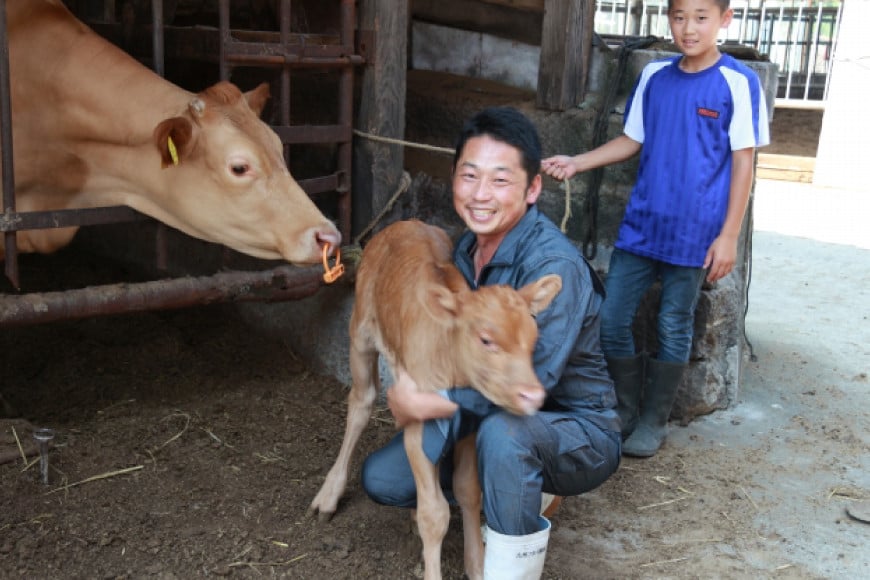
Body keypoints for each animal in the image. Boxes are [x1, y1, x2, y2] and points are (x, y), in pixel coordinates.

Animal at [310, 220, 564, 576]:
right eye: (486, 339)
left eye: (533, 338)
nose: (532, 394)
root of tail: (404, 223)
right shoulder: (419, 422)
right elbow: (435, 514)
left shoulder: (469, 426)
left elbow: (468, 491)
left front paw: (476, 567)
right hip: (360, 331)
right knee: (361, 402)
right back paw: (329, 495)